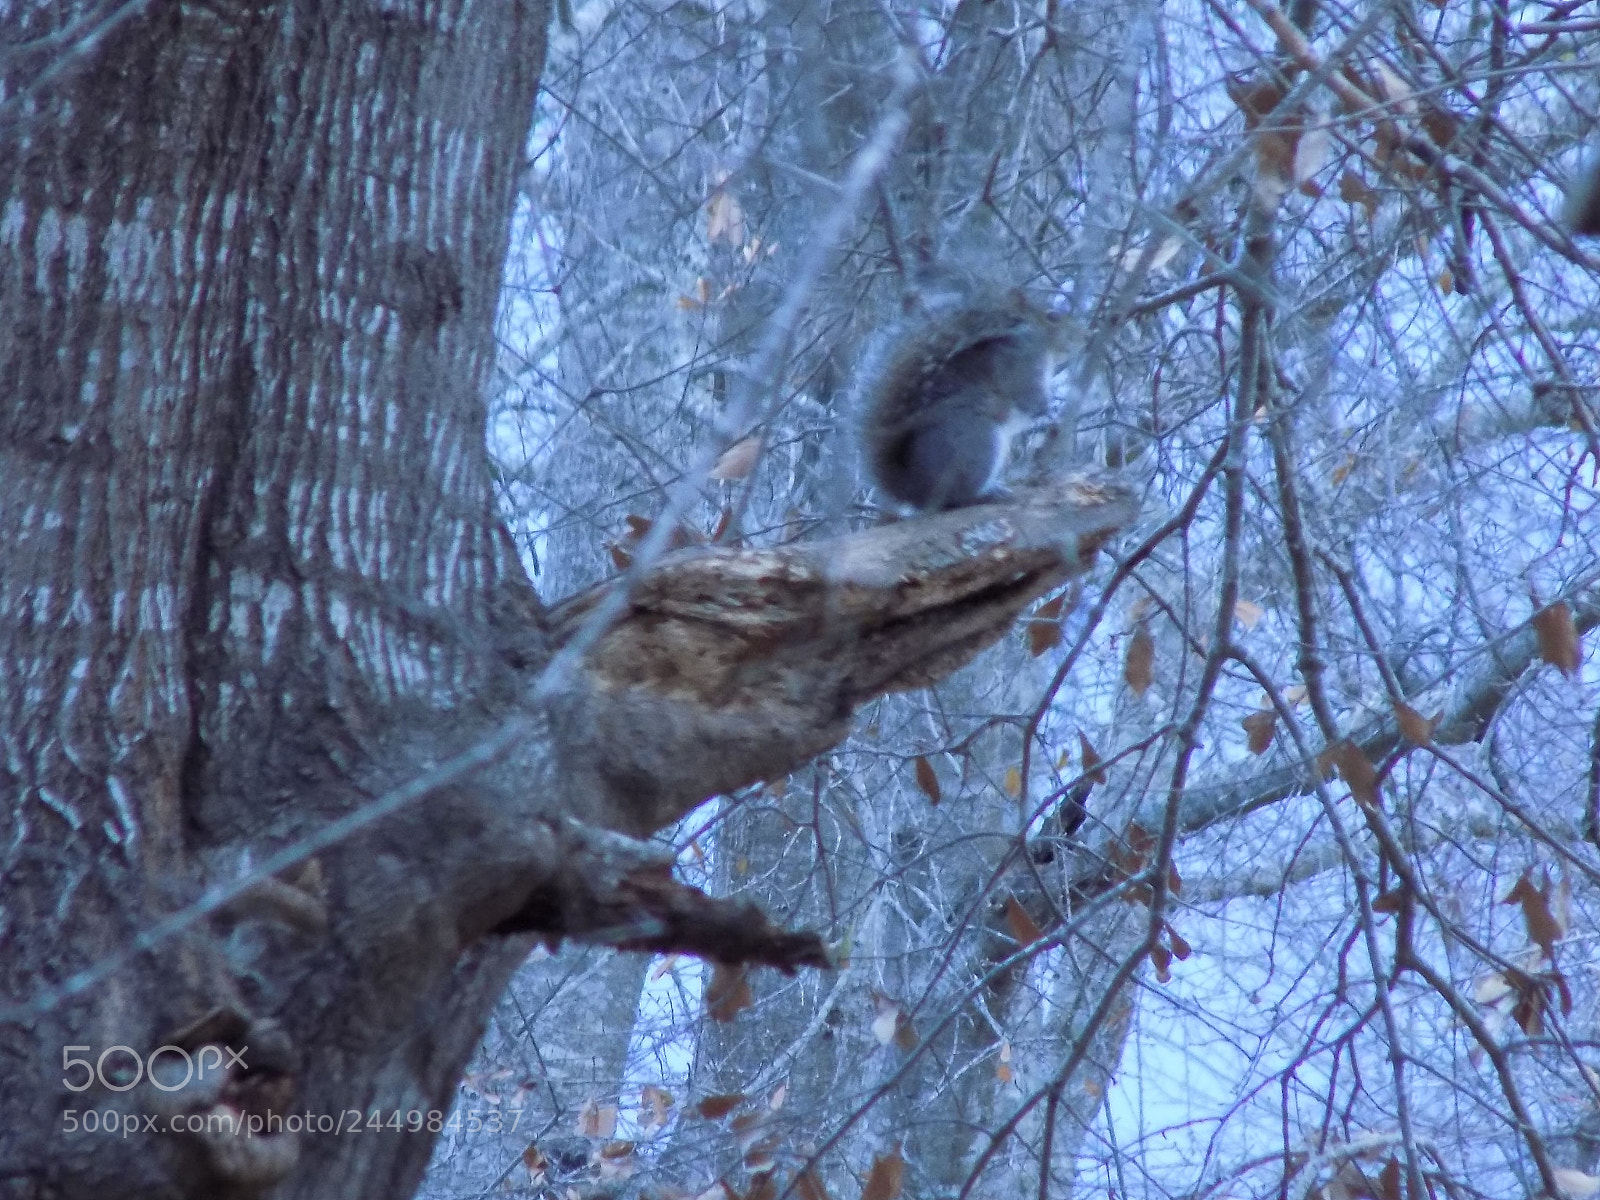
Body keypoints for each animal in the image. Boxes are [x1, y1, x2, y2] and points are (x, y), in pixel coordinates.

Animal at [860, 289, 1061, 511]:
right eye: (1053, 316)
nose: (1081, 335)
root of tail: (915, 491)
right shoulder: (1017, 366)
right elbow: (1029, 398)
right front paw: (1050, 411)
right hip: (976, 442)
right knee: (959, 498)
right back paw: (988, 494)